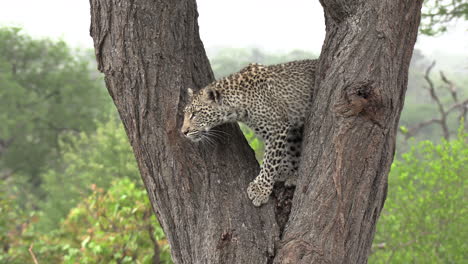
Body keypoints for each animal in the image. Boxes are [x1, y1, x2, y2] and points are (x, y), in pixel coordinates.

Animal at [181, 59, 316, 206]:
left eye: (195, 114)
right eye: (185, 114)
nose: (183, 132)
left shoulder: (278, 127)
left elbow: (270, 160)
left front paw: (260, 190)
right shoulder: (291, 127)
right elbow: (290, 150)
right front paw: (288, 172)